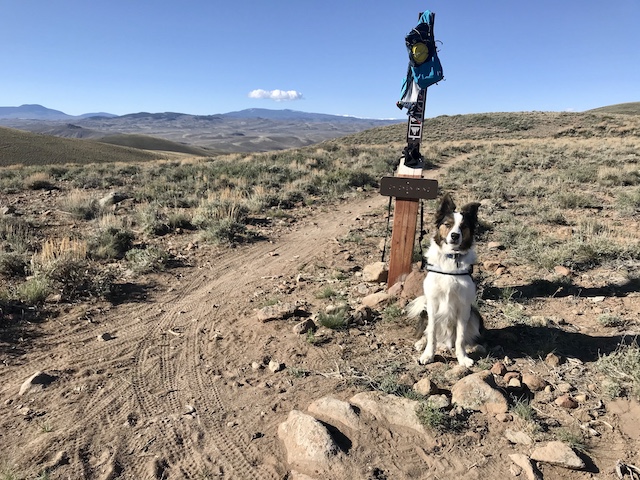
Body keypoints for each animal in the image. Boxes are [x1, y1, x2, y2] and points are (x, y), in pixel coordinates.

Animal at [408, 193, 482, 366]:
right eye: (448, 224)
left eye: (463, 227)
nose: (454, 235)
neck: (451, 257)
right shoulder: (433, 304)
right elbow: (431, 333)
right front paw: (428, 355)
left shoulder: (464, 306)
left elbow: (460, 338)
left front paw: (462, 358)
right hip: (425, 311)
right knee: (427, 331)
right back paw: (420, 343)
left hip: (475, 314)